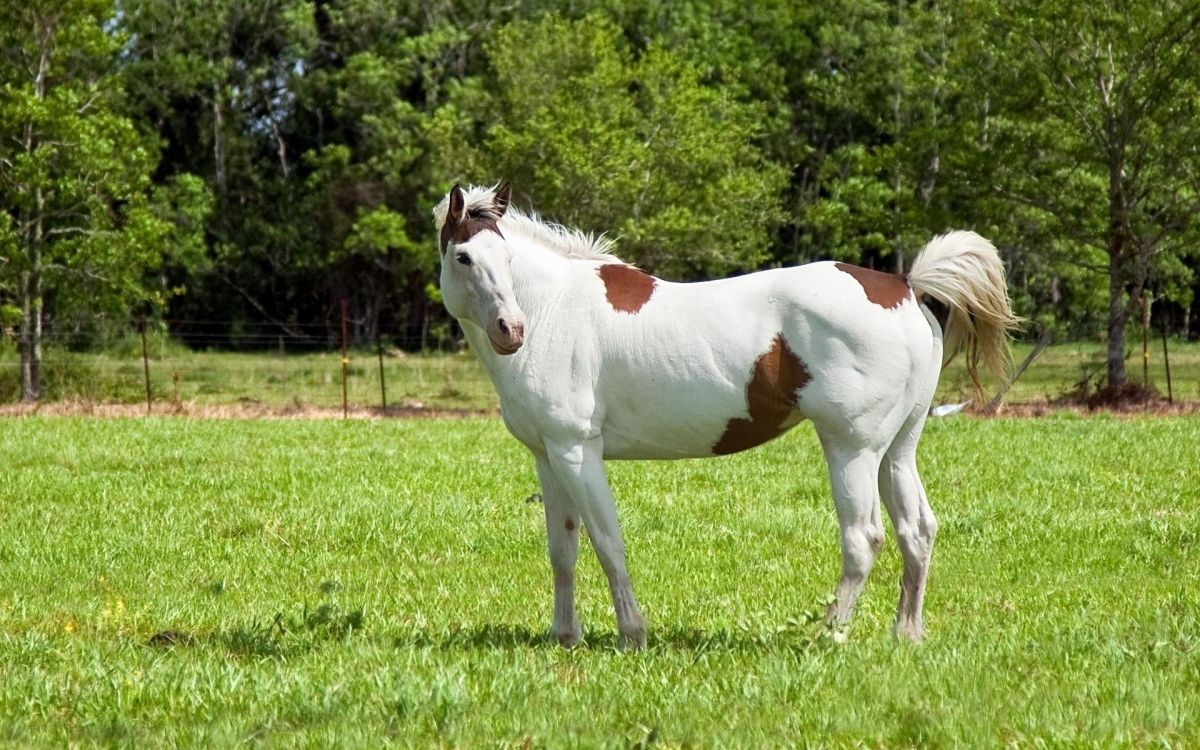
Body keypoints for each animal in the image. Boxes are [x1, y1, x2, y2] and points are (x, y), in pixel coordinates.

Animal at [433, 182, 1017, 649]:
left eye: (506, 259)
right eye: (464, 256)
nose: (511, 330)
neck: (554, 308)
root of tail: (903, 286)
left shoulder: (578, 452)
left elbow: (607, 541)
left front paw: (632, 635)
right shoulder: (548, 456)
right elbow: (563, 550)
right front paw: (565, 636)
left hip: (852, 448)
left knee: (863, 538)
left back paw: (827, 634)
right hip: (897, 450)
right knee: (916, 530)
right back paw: (906, 634)